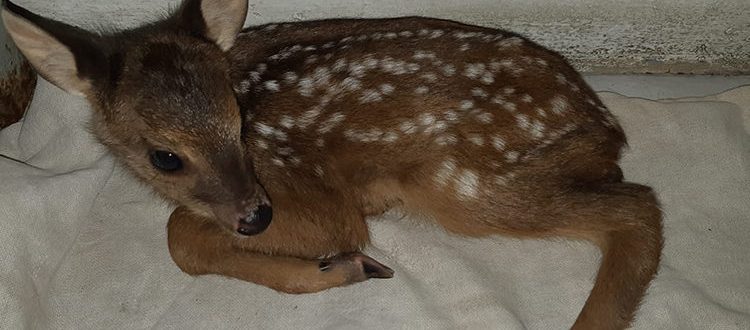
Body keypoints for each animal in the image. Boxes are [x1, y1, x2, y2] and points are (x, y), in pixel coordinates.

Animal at [4, 1, 664, 328]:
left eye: (238, 120)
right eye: (163, 156)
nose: (256, 219)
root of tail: (606, 128)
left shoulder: (312, 191)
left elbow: (180, 237)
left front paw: (343, 265)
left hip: (466, 182)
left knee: (639, 207)